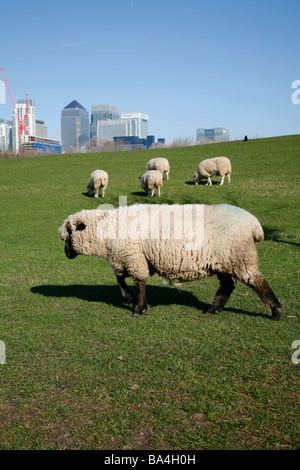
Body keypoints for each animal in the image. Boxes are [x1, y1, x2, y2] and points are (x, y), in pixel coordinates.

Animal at [59, 204, 282, 322]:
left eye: (68, 233)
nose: (66, 254)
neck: (106, 231)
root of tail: (254, 225)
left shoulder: (132, 256)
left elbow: (138, 282)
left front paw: (139, 307)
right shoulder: (124, 257)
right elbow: (120, 278)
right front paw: (129, 298)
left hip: (239, 256)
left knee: (257, 281)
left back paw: (276, 310)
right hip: (223, 261)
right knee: (228, 285)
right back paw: (214, 308)